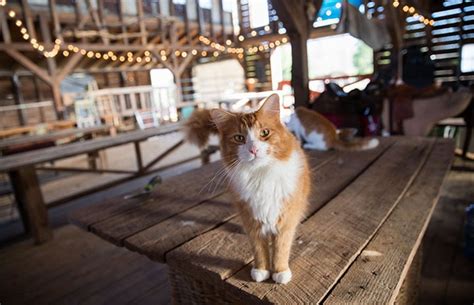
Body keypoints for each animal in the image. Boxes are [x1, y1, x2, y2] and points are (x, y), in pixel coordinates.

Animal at [211, 94, 312, 284]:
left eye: (264, 133)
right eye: (239, 138)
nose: (253, 149)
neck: (261, 176)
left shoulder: (285, 220)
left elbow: (281, 248)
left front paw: (280, 272)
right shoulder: (251, 220)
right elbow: (258, 249)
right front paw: (261, 270)